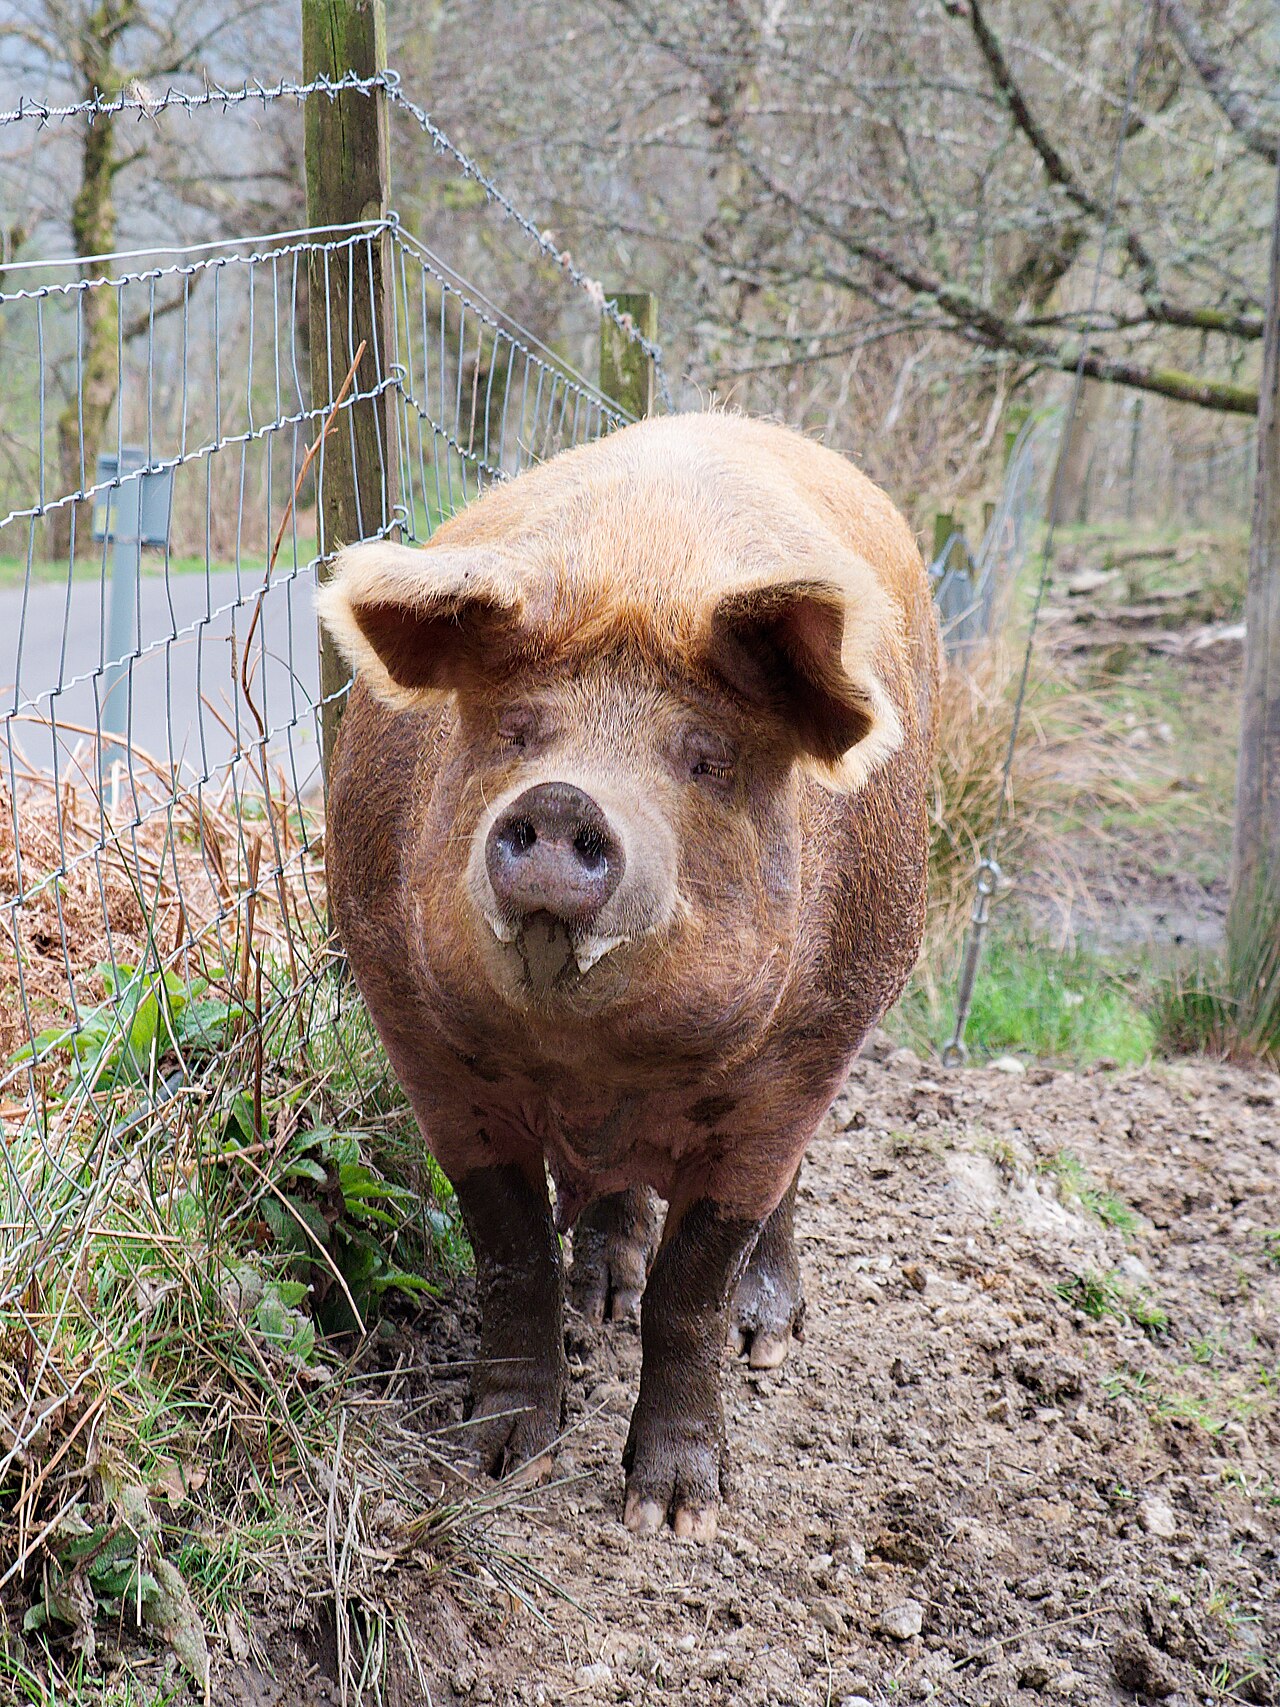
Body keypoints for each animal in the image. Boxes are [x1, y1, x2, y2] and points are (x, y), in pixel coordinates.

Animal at [316, 410, 940, 1541]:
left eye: (704, 758)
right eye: (516, 730)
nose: (563, 799)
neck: (593, 1058)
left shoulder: (801, 1056)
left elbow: (694, 1284)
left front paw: (674, 1517)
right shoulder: (418, 1034)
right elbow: (508, 1243)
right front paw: (497, 1461)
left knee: (781, 1197)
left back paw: (767, 1339)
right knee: (606, 1198)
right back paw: (599, 1298)